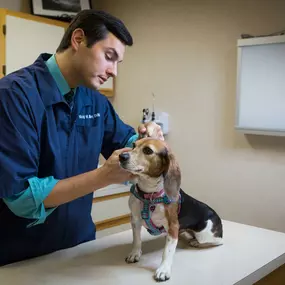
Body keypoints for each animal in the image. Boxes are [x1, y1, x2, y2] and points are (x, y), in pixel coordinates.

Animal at [117, 137, 222, 280]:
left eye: (148, 150)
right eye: (133, 145)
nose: (122, 156)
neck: (149, 194)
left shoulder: (173, 226)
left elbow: (167, 251)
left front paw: (163, 269)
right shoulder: (135, 220)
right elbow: (137, 240)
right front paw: (135, 253)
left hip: (204, 234)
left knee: (217, 241)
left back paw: (197, 243)